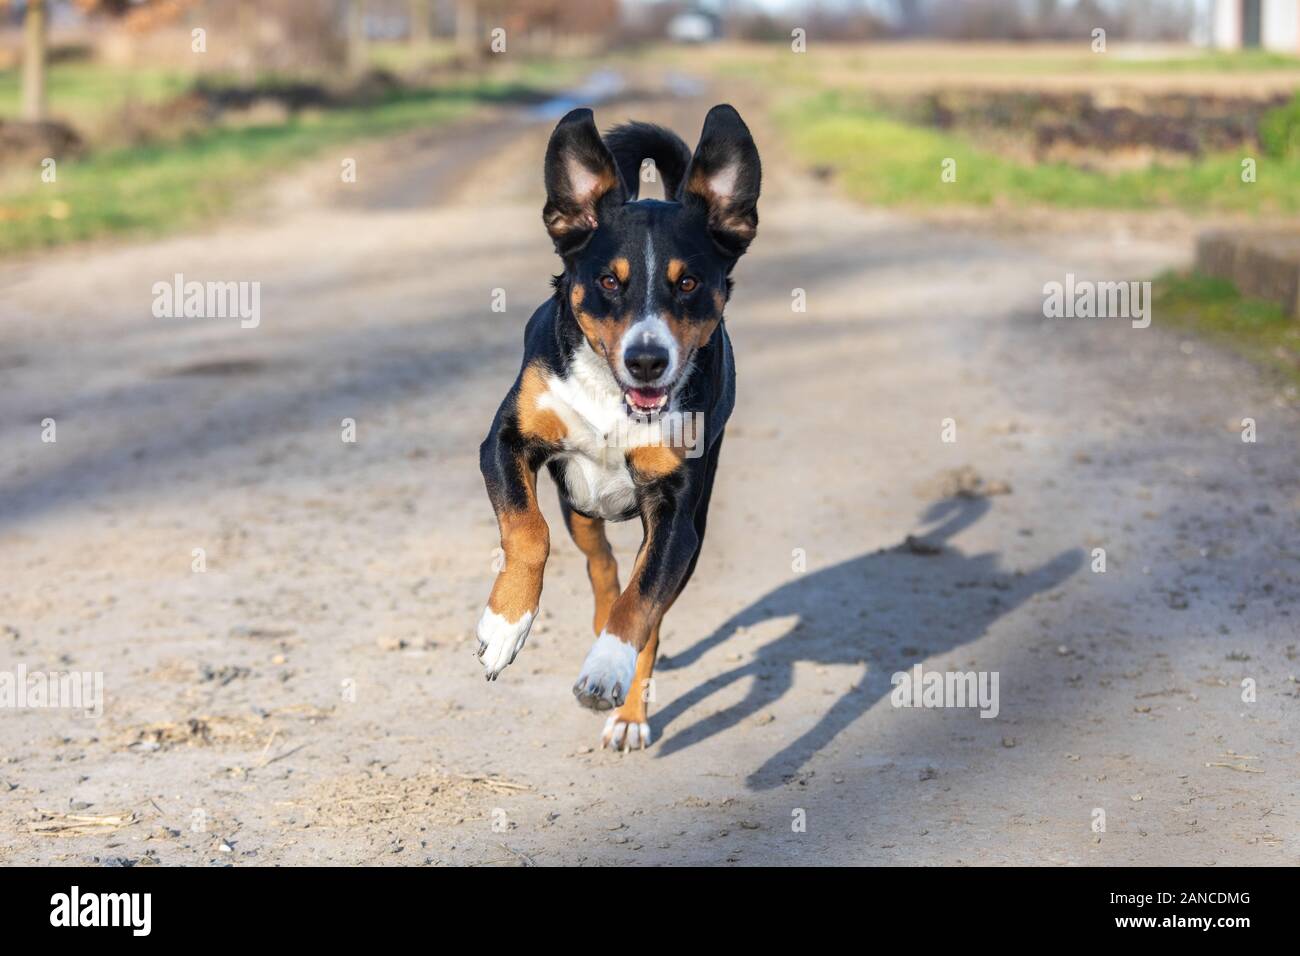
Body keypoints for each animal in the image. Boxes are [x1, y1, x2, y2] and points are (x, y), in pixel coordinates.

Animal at [475, 102, 759, 749]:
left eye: (688, 282)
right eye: (609, 281)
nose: (646, 360)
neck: (616, 403)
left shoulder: (677, 517)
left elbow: (641, 605)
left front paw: (607, 668)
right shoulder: (505, 441)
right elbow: (528, 533)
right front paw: (505, 625)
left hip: (690, 528)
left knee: (642, 607)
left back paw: (628, 710)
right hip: (580, 505)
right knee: (601, 566)